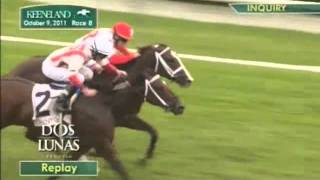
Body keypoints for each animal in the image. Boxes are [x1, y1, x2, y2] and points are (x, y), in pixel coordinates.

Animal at [1, 67, 184, 179]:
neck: (104, 103)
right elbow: (120, 169)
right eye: (159, 87)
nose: (179, 106)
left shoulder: (85, 144)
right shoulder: (102, 143)